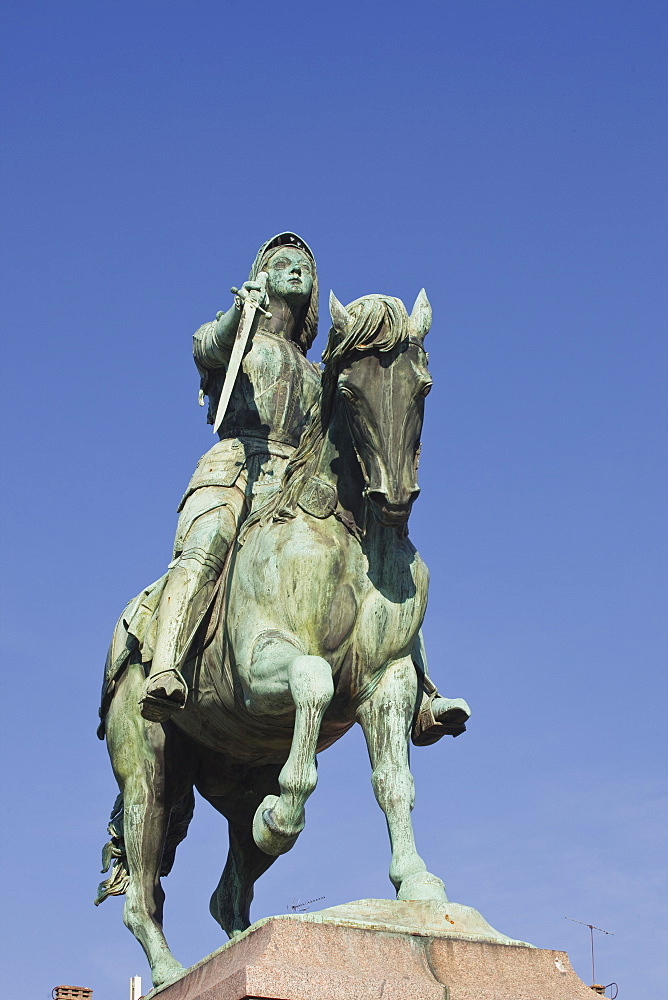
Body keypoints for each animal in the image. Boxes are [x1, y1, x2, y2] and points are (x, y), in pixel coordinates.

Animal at [98, 290, 464, 984]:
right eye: (347, 388)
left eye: (424, 385)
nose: (395, 496)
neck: (348, 530)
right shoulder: (259, 665)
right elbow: (313, 680)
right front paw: (283, 817)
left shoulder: (389, 682)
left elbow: (394, 782)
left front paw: (417, 883)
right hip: (149, 775)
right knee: (141, 891)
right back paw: (171, 972)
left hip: (237, 779)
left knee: (226, 894)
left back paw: (239, 944)